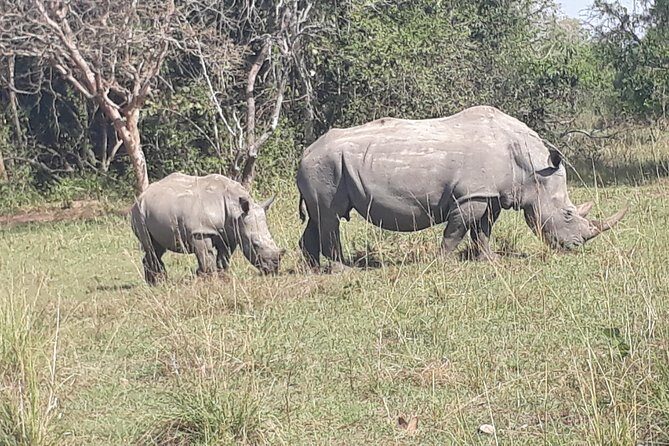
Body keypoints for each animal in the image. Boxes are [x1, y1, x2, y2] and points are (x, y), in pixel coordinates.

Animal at [131, 173, 284, 284]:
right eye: (255, 244)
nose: (274, 269)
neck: (235, 209)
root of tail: (140, 196)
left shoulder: (230, 233)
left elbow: (224, 256)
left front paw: (222, 277)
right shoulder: (201, 231)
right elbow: (206, 256)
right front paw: (208, 280)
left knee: (157, 247)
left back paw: (155, 281)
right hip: (139, 213)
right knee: (151, 246)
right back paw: (158, 283)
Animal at [296, 106, 627, 266]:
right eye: (568, 214)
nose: (575, 246)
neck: (532, 169)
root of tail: (305, 152)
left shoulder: (489, 194)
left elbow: (483, 230)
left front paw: (490, 261)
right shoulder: (471, 195)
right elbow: (456, 231)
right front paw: (443, 263)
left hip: (322, 167)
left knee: (318, 216)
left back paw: (314, 270)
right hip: (326, 166)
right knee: (330, 217)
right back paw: (343, 270)